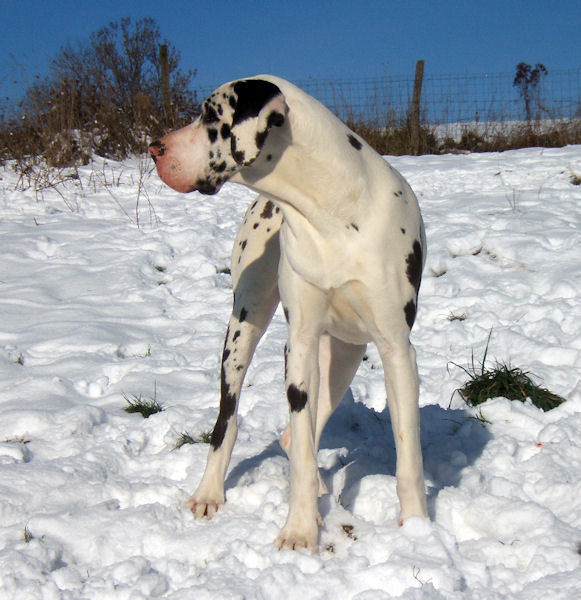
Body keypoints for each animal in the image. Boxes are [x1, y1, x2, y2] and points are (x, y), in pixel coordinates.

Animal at [148, 76, 426, 552]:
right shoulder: (300, 345)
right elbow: (297, 452)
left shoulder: (396, 351)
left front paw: (419, 529)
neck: (331, 212)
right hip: (244, 332)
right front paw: (299, 530)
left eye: (210, 115)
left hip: (342, 360)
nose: (154, 147)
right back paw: (210, 491)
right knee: (230, 422)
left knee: (297, 433)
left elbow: (408, 455)